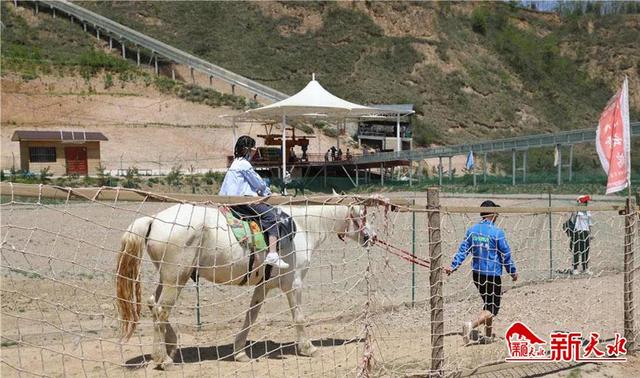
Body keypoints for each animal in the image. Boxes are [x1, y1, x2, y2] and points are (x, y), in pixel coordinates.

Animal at [117, 202, 372, 368]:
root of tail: (153, 220)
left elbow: (251, 315)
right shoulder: (294, 284)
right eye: (362, 217)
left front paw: (239, 352)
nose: (371, 237)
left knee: (153, 304)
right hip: (176, 279)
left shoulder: (263, 286)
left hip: (168, 278)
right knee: (161, 310)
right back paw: (163, 359)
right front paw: (308, 348)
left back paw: (170, 345)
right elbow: (299, 317)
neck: (302, 228)